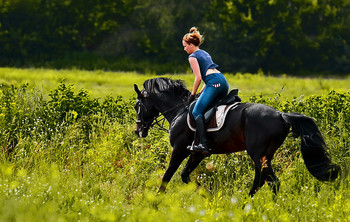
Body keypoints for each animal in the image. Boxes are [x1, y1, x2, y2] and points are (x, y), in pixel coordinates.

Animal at [134, 77, 340, 195]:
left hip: (257, 154)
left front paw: (156, 203)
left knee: (270, 182)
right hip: (265, 156)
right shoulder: (197, 154)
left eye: (137, 106)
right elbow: (185, 176)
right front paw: (206, 196)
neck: (179, 109)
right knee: (265, 181)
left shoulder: (179, 150)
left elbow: (167, 177)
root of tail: (281, 115)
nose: (138, 131)